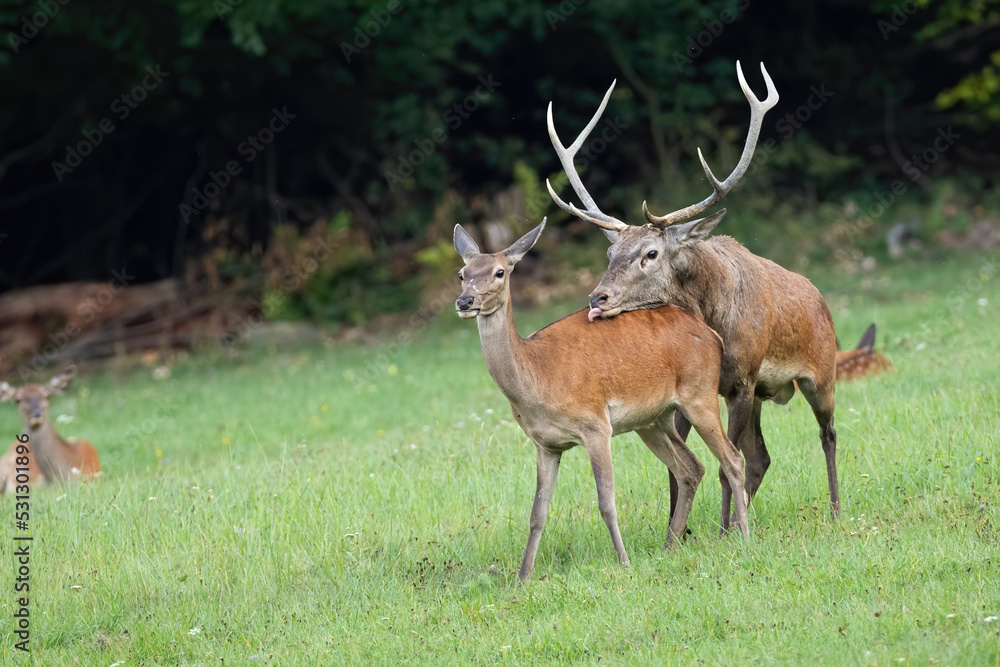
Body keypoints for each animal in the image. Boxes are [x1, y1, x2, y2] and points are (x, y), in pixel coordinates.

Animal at [454, 218, 748, 582]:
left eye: (499, 272)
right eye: (462, 273)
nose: (465, 301)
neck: (537, 377)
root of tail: (712, 334)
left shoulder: (595, 424)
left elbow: (606, 502)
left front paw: (624, 563)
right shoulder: (545, 444)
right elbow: (537, 513)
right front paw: (523, 577)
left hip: (700, 394)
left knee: (733, 459)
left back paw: (744, 536)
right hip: (653, 419)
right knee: (691, 467)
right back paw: (669, 546)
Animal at [545, 61, 840, 529]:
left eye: (651, 253)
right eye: (610, 252)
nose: (598, 298)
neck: (712, 313)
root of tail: (821, 301)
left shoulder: (742, 378)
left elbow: (723, 463)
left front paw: (724, 530)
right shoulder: (691, 394)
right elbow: (678, 468)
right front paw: (682, 532)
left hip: (821, 372)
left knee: (827, 434)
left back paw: (833, 508)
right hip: (764, 394)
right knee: (762, 457)